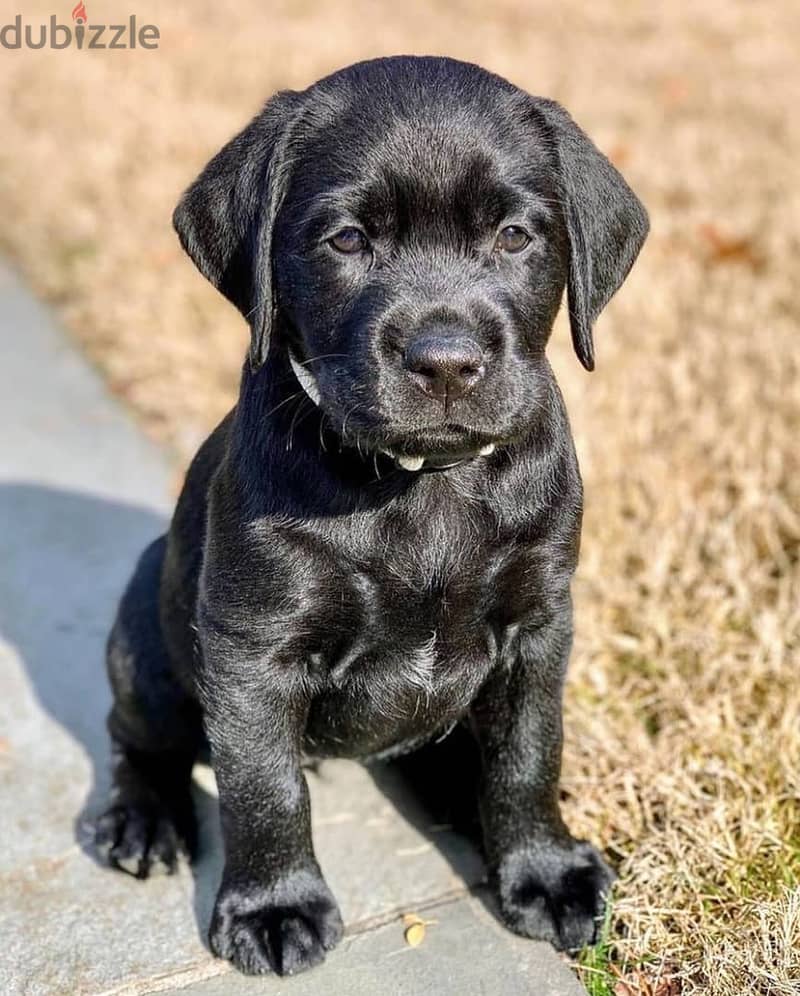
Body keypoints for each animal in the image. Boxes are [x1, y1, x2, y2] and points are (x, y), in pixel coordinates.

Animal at [92, 52, 648, 972]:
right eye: (348, 240)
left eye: (514, 236)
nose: (447, 362)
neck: (422, 485)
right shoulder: (252, 648)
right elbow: (263, 785)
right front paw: (275, 906)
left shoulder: (539, 625)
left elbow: (530, 753)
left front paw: (543, 870)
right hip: (146, 646)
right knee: (141, 737)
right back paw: (143, 817)